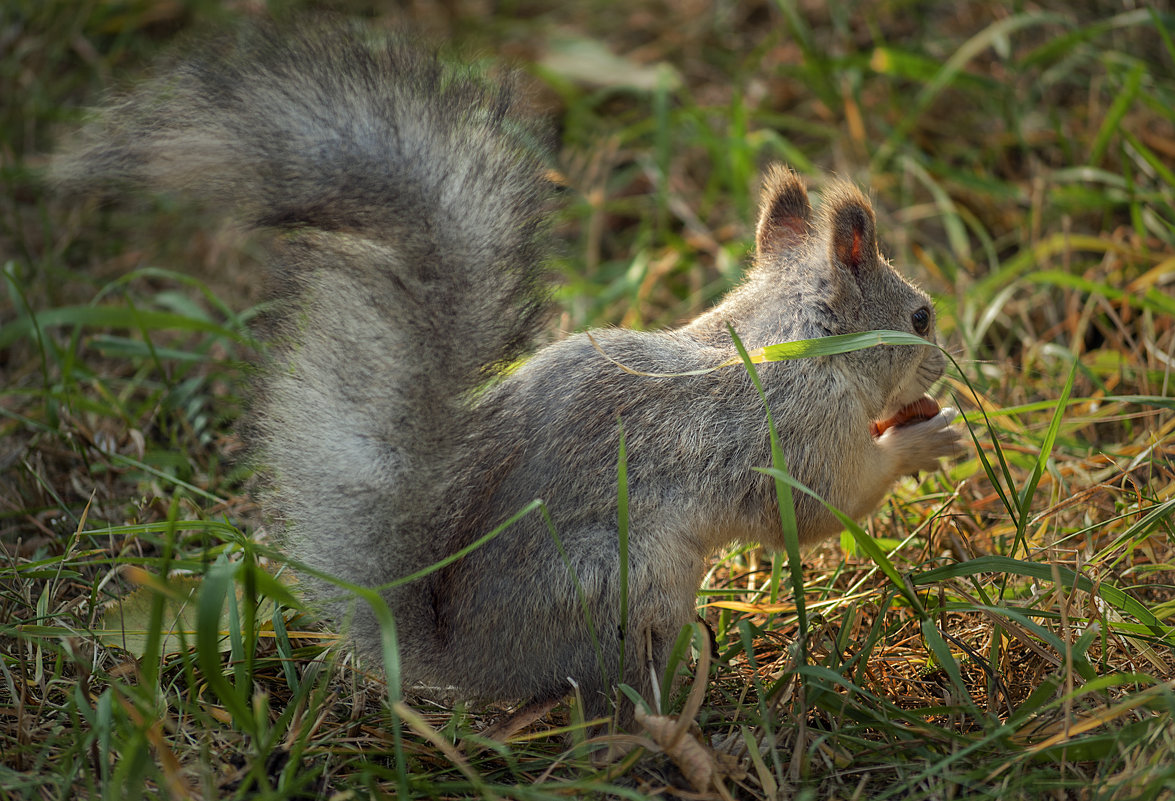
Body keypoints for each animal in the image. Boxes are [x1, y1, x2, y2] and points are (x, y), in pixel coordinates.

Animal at [52, 23, 963, 723]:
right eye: (917, 316)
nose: (942, 351)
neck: (779, 342)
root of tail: (466, 661)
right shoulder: (791, 430)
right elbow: (819, 507)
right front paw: (922, 440)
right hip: (623, 590)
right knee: (605, 697)